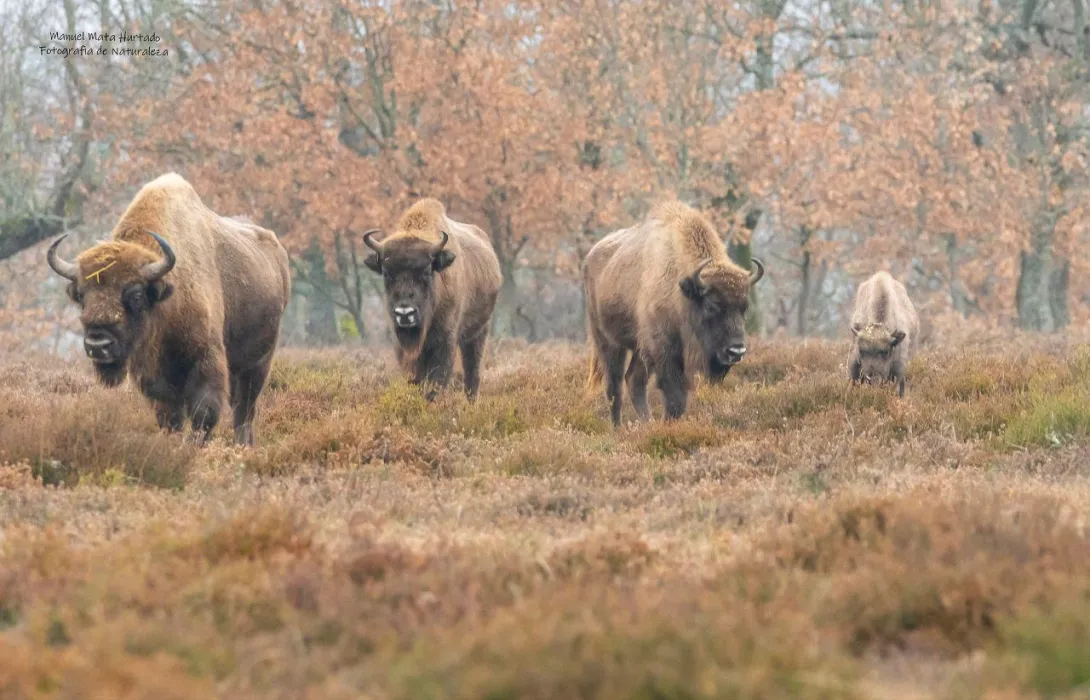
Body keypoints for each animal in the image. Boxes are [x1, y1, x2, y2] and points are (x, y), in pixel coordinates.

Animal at [46, 173, 290, 445]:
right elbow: (169, 416)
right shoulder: (154, 376)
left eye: (136, 295)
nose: (98, 345)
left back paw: (243, 445)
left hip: (259, 362)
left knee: (244, 409)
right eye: (81, 295)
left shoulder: (206, 359)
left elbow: (204, 413)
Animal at [361, 198, 502, 400]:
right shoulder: (405, 348)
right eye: (387, 273)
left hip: (478, 333)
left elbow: (437, 380)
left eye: (427, 272)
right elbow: (416, 379)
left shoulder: (445, 341)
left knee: (472, 374)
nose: (405, 313)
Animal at [583, 200, 765, 425]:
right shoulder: (664, 350)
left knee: (633, 380)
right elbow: (674, 396)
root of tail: (589, 257)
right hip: (608, 342)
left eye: (744, 307)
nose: (736, 351)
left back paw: (647, 424)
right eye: (711, 306)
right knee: (614, 387)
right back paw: (618, 427)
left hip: (638, 347)